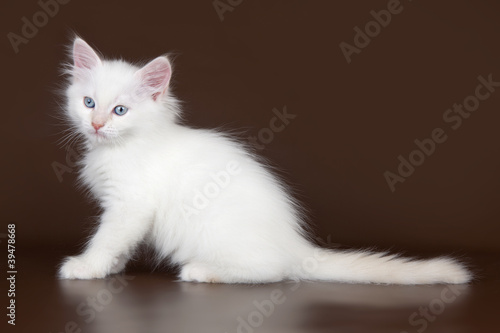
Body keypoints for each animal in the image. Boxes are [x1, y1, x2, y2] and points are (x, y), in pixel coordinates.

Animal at [58, 38, 472, 282]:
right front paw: (111, 268)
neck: (124, 145)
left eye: (120, 110)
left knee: (270, 271)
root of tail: (294, 244)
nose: (96, 124)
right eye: (89, 103)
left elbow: (107, 238)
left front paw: (86, 266)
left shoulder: (130, 205)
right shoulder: (127, 210)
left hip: (217, 234)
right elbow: (120, 244)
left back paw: (203, 271)